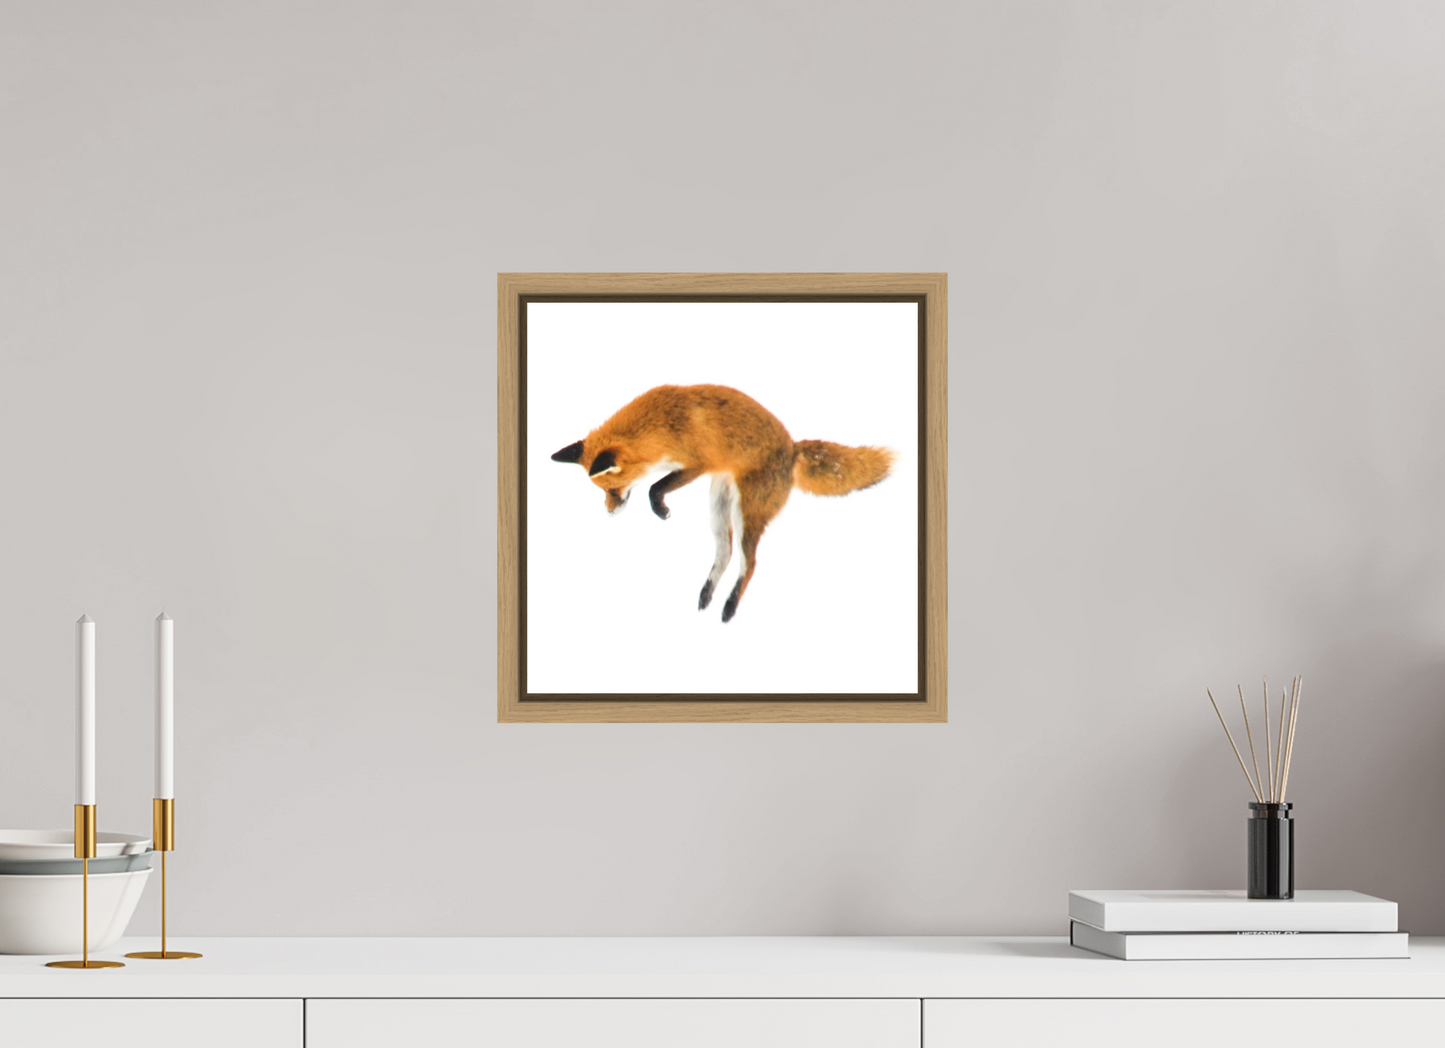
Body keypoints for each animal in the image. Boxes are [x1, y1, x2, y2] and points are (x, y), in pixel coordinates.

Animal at [551, 384, 893, 622]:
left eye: (612, 488)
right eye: (603, 491)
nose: (609, 513)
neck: (662, 425)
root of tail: (793, 449)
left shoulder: (698, 464)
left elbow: (654, 488)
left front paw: (661, 510)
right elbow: (655, 486)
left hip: (746, 514)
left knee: (749, 563)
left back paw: (729, 607)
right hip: (718, 509)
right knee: (726, 554)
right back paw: (707, 595)